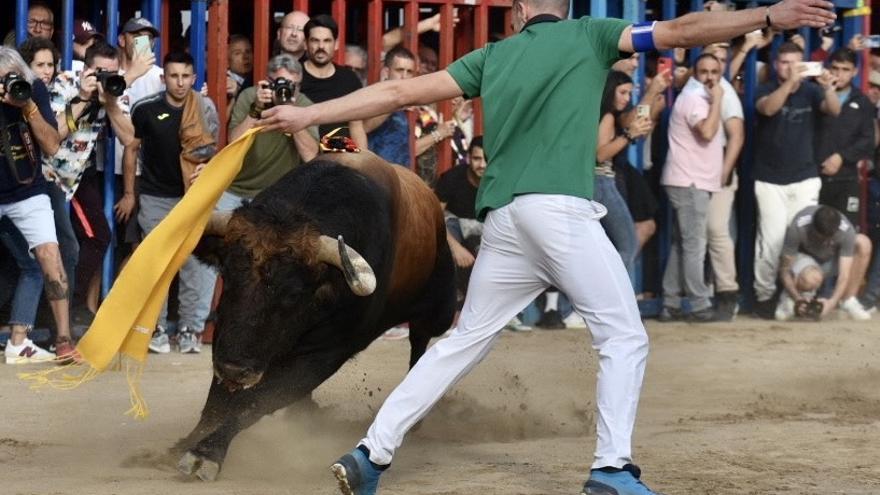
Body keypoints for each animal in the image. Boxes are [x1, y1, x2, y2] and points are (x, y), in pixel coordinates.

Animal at [174, 150, 458, 480]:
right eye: (227, 276)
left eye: (293, 294)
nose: (235, 369)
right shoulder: (226, 335)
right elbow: (217, 398)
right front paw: (188, 442)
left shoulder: (323, 355)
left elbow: (256, 401)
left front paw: (206, 453)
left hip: (440, 309)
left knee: (420, 341)